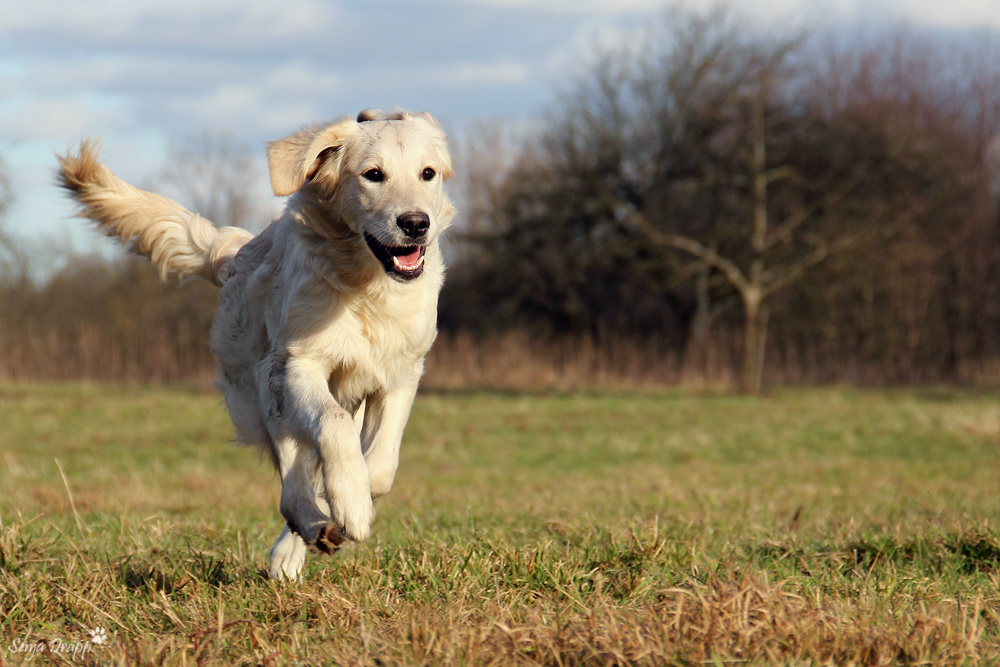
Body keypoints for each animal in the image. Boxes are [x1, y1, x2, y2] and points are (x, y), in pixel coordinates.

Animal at [56, 109, 456, 580]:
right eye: (373, 175)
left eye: (428, 173)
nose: (416, 224)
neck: (367, 287)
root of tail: (236, 254)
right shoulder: (298, 364)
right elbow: (333, 427)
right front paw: (351, 505)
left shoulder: (402, 372)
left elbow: (381, 464)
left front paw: (353, 497)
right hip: (266, 388)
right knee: (292, 487)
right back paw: (309, 528)